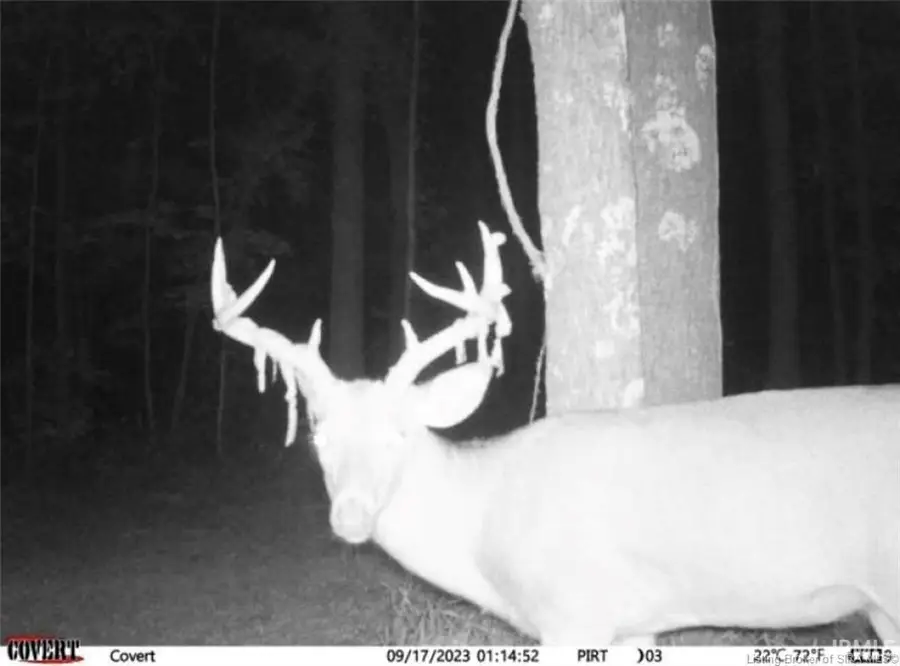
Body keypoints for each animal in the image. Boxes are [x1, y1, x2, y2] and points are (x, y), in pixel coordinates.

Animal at [211, 222, 900, 646]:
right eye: (318, 438)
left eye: (399, 435)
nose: (350, 516)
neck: (485, 525)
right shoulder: (633, 620)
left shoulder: (576, 610)